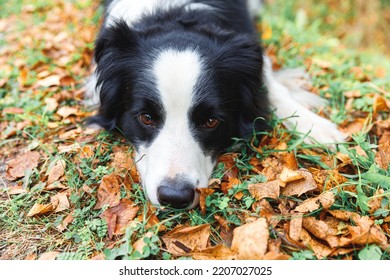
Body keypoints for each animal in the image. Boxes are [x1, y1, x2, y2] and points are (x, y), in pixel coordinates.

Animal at [85, 0, 344, 209]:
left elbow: (271, 85)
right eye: (146, 118)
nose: (175, 197)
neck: (174, 14)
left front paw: (317, 127)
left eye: (211, 121)